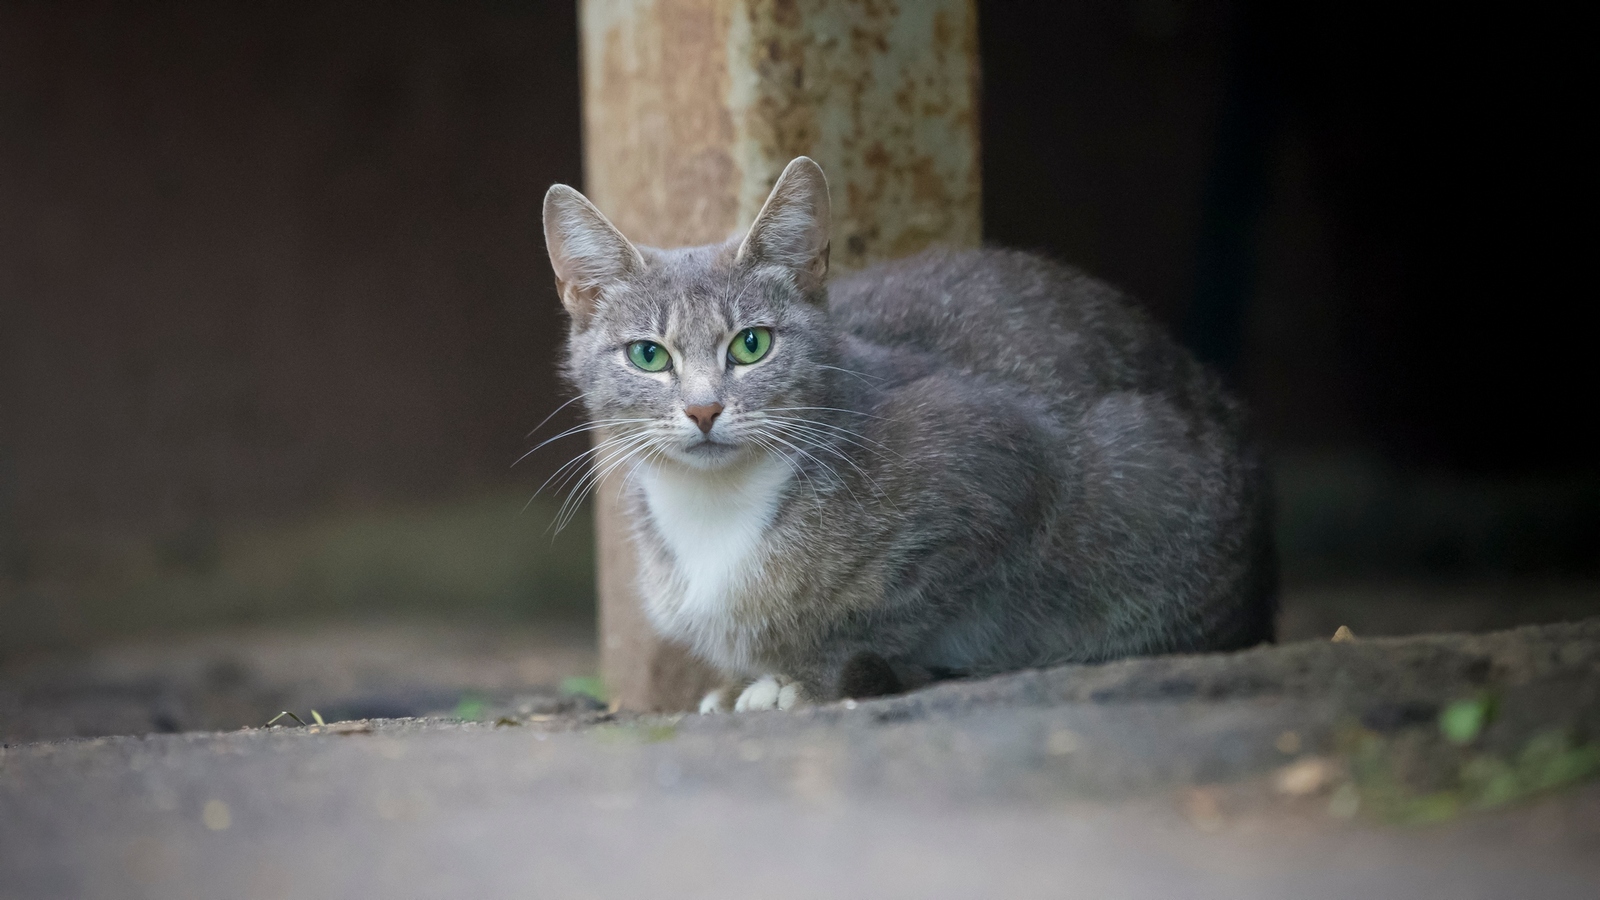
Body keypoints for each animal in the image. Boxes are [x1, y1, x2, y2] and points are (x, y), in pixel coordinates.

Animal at [544, 157, 1280, 711]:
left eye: (751, 344)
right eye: (648, 355)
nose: (702, 410)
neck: (716, 507)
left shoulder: (999, 466)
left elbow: (897, 613)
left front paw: (802, 679)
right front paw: (748, 680)